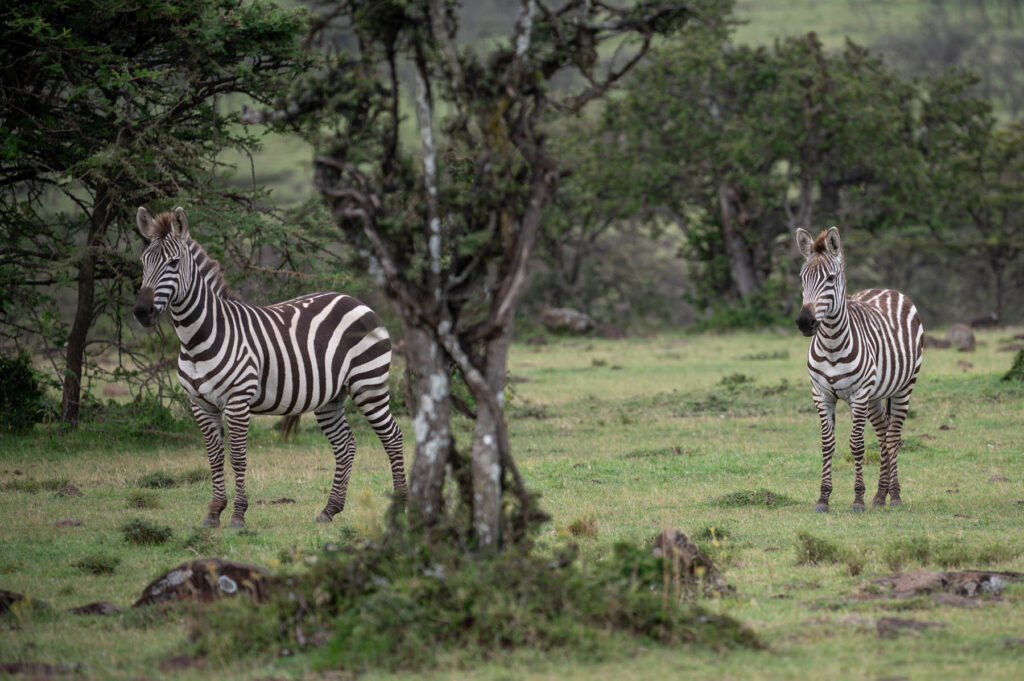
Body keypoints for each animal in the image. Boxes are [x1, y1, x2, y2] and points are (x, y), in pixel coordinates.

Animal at [132, 206, 406, 527]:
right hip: (331, 396)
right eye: (143, 262)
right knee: (345, 445)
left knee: (393, 437)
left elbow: (237, 457)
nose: (142, 311)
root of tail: (356, 301)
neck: (196, 339)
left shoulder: (238, 401)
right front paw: (214, 512)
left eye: (173, 263)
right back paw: (329, 510)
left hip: (368, 384)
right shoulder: (199, 404)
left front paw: (238, 515)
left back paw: (401, 505)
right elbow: (214, 457)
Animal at [794, 227, 923, 513]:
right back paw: (880, 495)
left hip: (903, 387)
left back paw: (894, 496)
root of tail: (888, 289)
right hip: (875, 397)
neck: (832, 343)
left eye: (830, 278)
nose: (805, 322)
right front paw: (823, 498)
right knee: (884, 433)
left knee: (894, 435)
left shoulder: (858, 394)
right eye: (802, 278)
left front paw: (858, 499)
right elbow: (827, 444)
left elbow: (856, 444)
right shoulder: (821, 394)